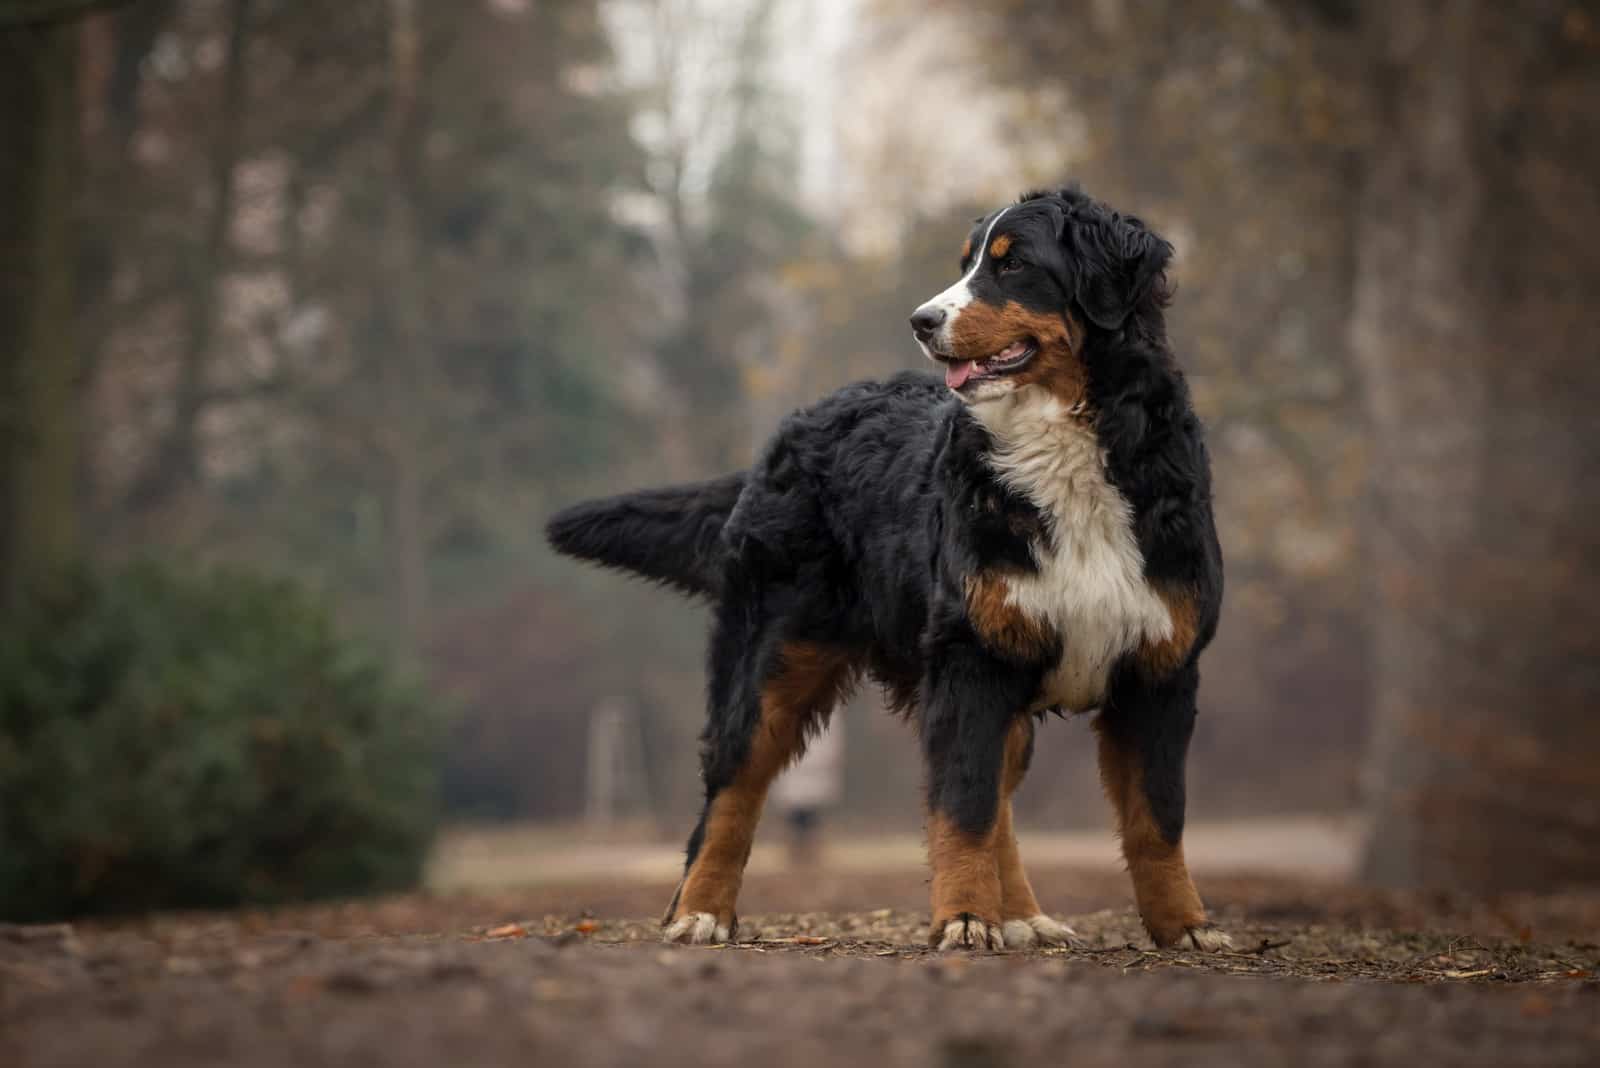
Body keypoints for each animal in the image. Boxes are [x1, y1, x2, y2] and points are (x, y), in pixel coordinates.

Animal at [544, 183, 1228, 952]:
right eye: (966, 264)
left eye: (1013, 263)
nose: (922, 321)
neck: (1067, 449)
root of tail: (796, 424)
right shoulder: (970, 660)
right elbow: (963, 807)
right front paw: (964, 919)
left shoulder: (1159, 667)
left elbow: (1156, 819)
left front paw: (1185, 927)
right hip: (772, 657)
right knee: (731, 791)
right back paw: (700, 911)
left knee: (999, 800)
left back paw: (1022, 914)